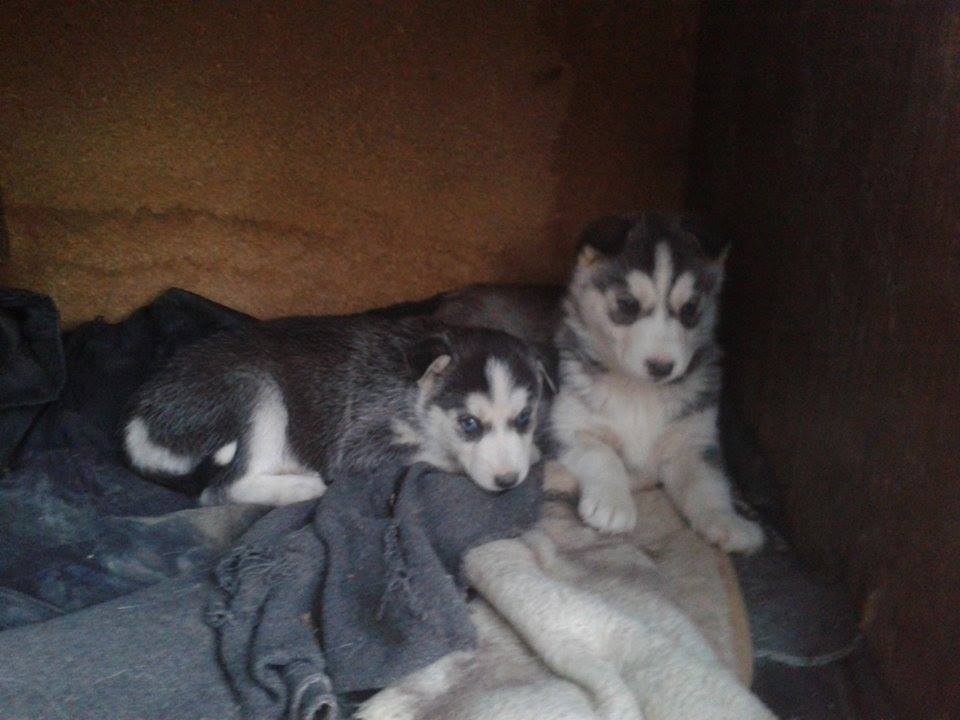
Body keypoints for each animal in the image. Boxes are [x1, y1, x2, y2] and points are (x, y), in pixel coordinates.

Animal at [125, 313, 548, 505]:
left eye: (524, 418)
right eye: (469, 424)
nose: (508, 480)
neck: (413, 388)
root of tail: (139, 418)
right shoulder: (360, 443)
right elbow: (431, 452)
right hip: (256, 391)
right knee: (222, 488)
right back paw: (300, 486)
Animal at [431, 214, 763, 552]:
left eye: (690, 309)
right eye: (627, 304)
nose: (661, 367)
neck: (640, 390)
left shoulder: (692, 439)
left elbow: (707, 482)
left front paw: (727, 521)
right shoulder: (565, 427)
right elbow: (602, 453)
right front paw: (612, 505)